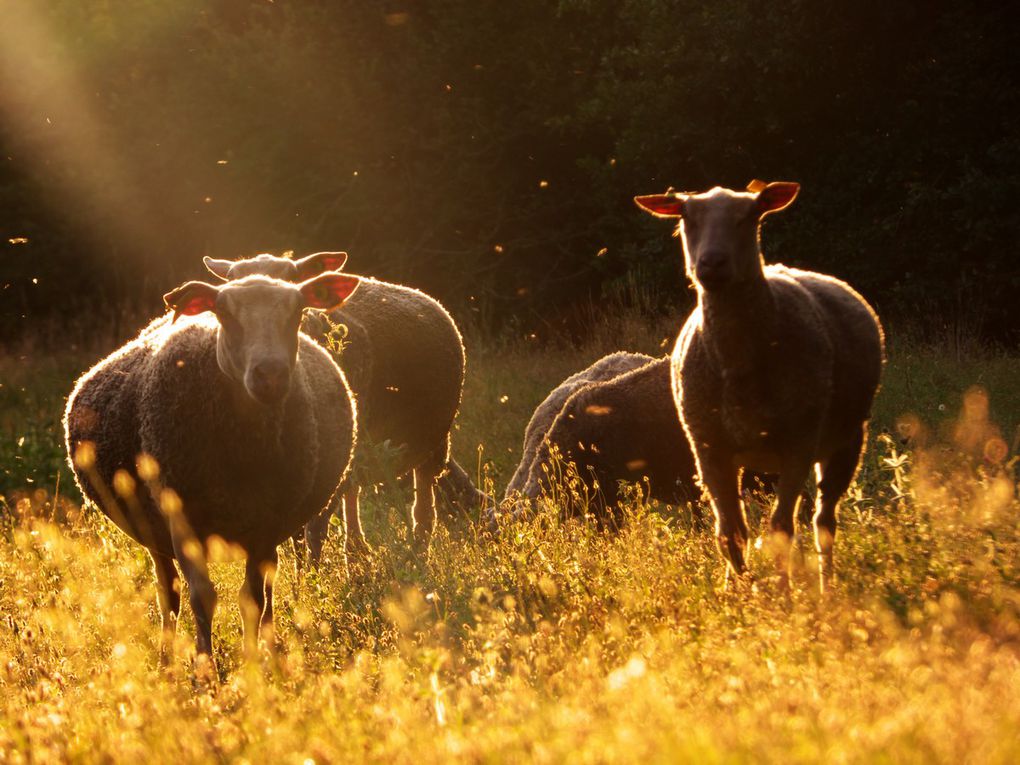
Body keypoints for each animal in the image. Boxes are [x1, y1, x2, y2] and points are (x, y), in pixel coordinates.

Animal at [62, 271, 359, 660]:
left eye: (297, 313)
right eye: (225, 314)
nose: (270, 374)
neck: (243, 453)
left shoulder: (266, 524)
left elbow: (253, 598)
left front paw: (253, 664)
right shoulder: (182, 519)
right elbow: (202, 598)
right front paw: (205, 668)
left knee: (267, 587)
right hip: (153, 529)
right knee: (168, 592)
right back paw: (166, 659)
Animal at [636, 181, 885, 591]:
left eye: (750, 216)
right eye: (687, 217)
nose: (712, 263)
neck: (738, 365)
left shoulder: (797, 444)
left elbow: (780, 530)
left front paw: (783, 597)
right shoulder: (709, 450)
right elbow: (729, 533)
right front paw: (735, 592)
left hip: (846, 439)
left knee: (823, 522)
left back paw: (826, 586)